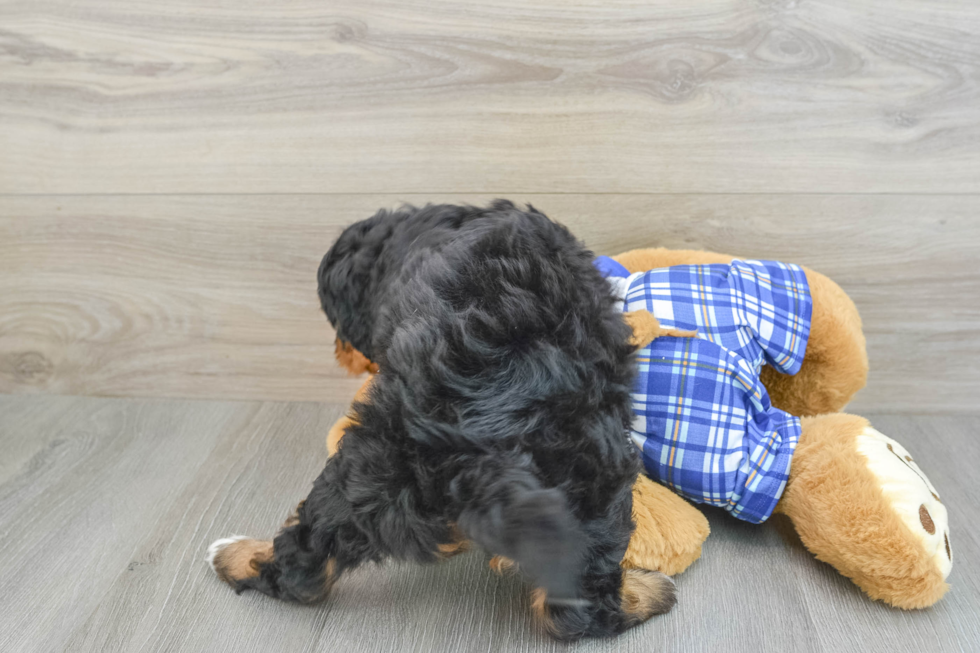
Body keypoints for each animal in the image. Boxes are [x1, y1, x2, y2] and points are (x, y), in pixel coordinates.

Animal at [211, 199, 676, 636]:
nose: (341, 353)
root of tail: (482, 446)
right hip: (593, 484)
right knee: (579, 609)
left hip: (373, 468)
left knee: (308, 557)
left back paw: (234, 555)